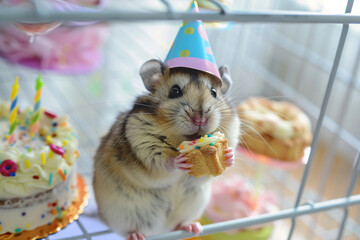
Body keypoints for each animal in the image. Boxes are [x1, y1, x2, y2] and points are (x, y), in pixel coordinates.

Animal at [93, 59, 240, 240]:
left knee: (177, 225)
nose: (200, 119)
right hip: (120, 214)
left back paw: (193, 227)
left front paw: (228, 155)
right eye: (174, 91)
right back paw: (136, 235)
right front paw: (180, 161)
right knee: (128, 230)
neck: (181, 138)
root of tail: (159, 231)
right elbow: (163, 163)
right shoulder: (144, 147)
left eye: (213, 92)